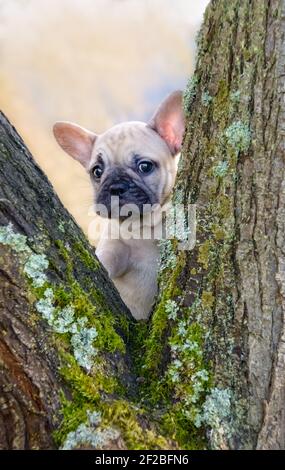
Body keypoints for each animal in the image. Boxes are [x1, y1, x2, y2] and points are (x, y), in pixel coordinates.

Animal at [53, 91, 184, 320]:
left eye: (145, 166)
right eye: (97, 171)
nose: (115, 187)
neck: (143, 227)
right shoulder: (115, 246)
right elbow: (107, 259)